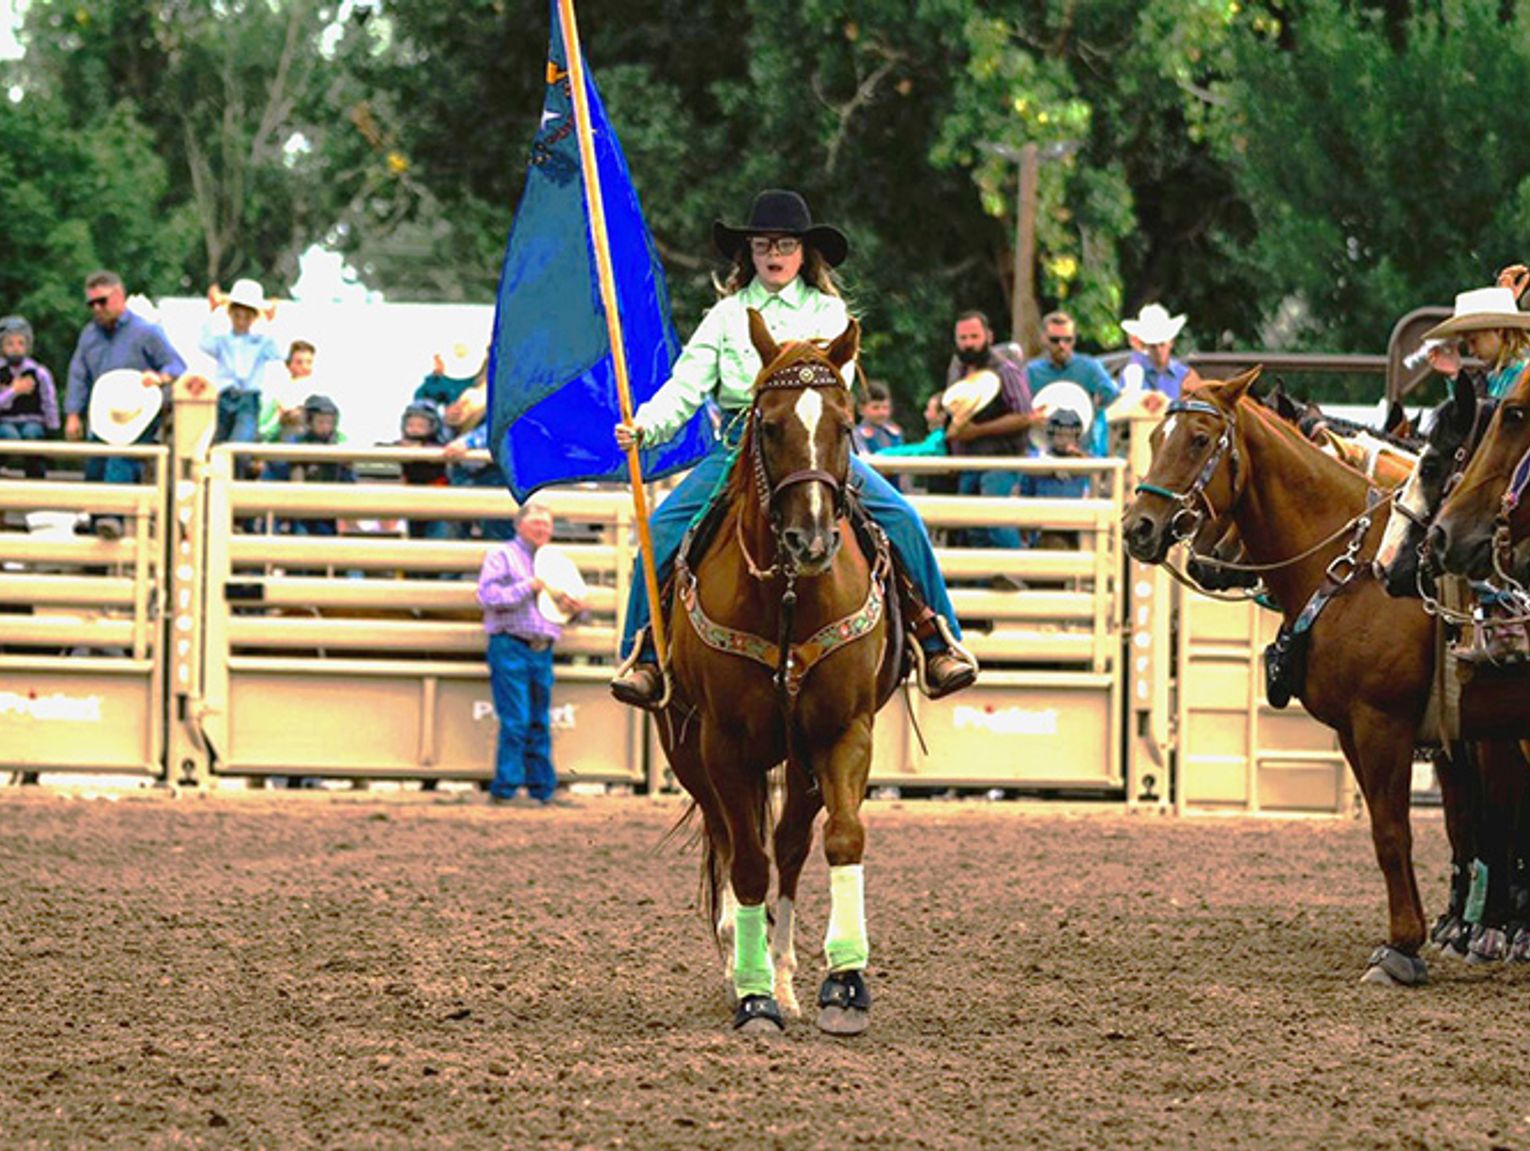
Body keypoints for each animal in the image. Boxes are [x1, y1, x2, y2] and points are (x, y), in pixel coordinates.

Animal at [654, 310, 893, 1040]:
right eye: (768, 425)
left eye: (845, 424)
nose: (810, 542)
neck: (788, 595)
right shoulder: (723, 744)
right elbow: (747, 863)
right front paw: (753, 996)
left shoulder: (844, 731)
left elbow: (839, 839)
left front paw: (843, 985)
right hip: (687, 749)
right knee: (734, 845)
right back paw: (746, 964)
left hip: (801, 760)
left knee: (789, 846)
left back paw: (786, 975)